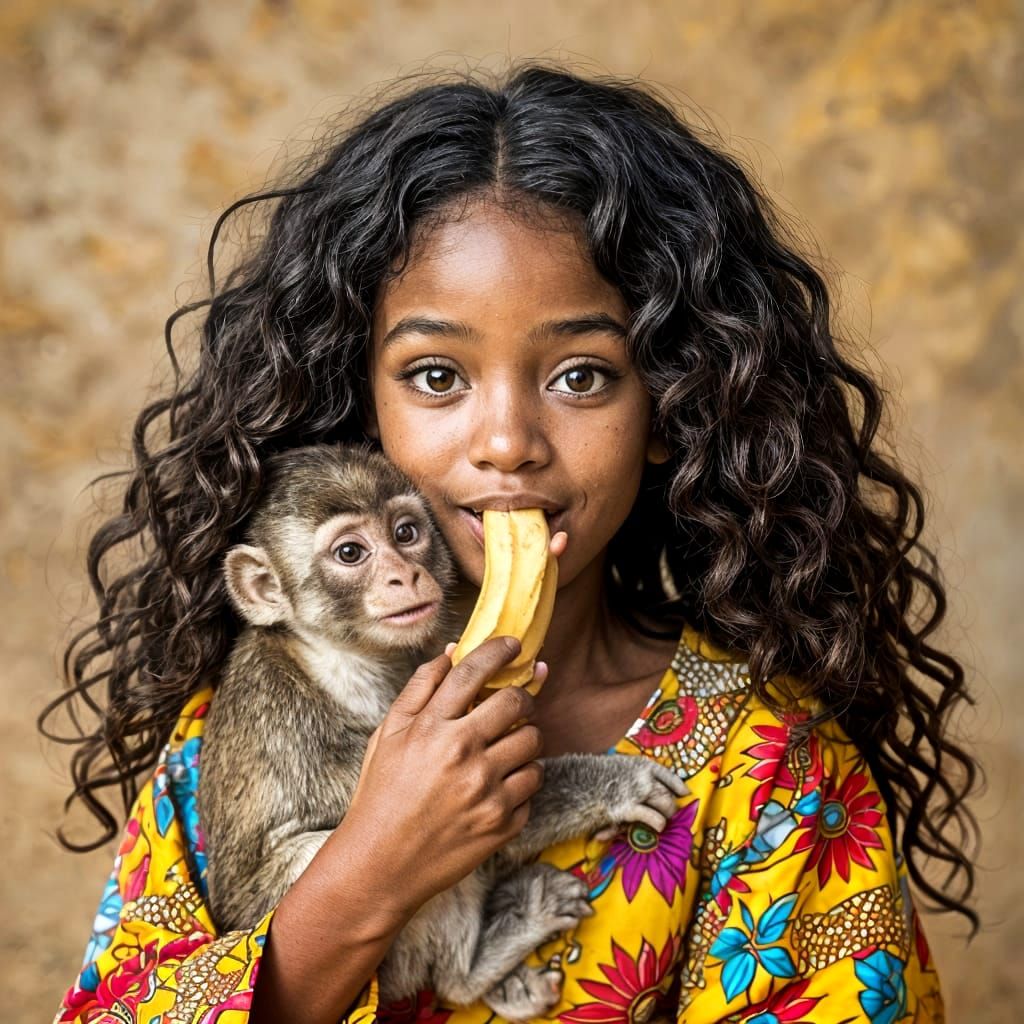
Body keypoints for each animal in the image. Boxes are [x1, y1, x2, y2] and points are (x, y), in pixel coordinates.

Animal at [197, 442, 688, 1021]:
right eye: (350, 553)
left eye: (406, 533)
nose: (404, 577)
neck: (334, 657)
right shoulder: (296, 720)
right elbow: (484, 809)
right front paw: (616, 785)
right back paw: (470, 972)